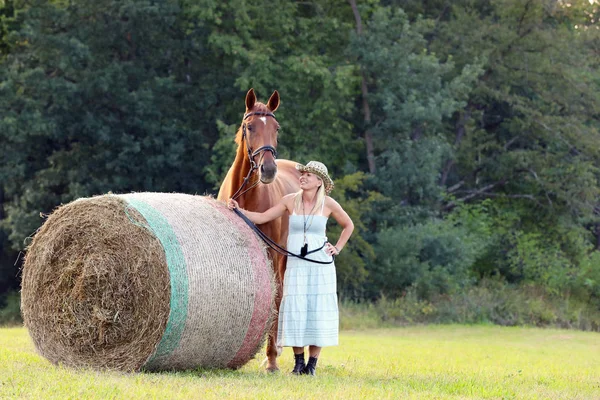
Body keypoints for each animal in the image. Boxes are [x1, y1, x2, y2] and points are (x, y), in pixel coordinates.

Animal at [218, 87, 300, 372]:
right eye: (250, 126)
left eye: (276, 128)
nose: (268, 169)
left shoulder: (272, 253)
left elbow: (274, 300)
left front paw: (272, 359)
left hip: (284, 256)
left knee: (282, 296)